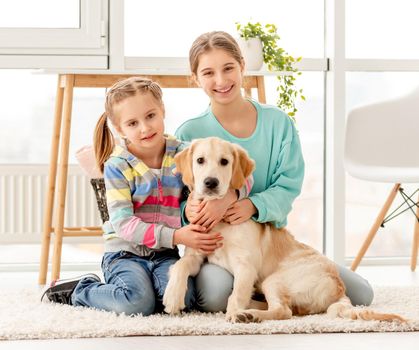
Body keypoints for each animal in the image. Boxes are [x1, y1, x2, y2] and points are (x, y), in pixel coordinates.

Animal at [162, 137, 406, 322]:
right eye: (200, 160)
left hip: (275, 280)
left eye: (224, 161)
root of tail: (339, 290)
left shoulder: (246, 266)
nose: (210, 183)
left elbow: (237, 293)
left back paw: (248, 314)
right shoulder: (196, 253)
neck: (220, 219)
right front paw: (173, 297)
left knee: (284, 311)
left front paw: (233, 313)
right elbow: (180, 265)